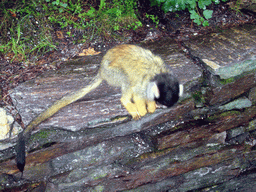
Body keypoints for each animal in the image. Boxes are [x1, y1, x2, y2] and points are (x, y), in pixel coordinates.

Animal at [15, 44, 182, 175]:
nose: (163, 105)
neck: (160, 74)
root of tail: (101, 69)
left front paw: (151, 106)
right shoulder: (144, 83)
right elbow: (138, 92)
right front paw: (142, 110)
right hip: (112, 73)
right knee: (126, 80)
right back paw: (126, 101)